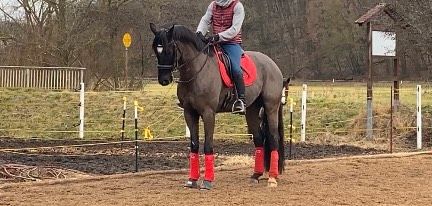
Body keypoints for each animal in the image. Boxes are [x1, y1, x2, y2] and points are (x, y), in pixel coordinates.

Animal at [150, 23, 288, 189]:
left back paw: (272, 178)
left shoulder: (208, 113)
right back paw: (256, 175)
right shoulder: (189, 113)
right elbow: (194, 145)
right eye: (155, 49)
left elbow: (208, 145)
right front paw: (192, 179)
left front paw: (208, 181)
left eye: (169, 49)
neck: (196, 71)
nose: (164, 80)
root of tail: (272, 64)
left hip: (270, 107)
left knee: (273, 139)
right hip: (252, 110)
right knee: (259, 139)